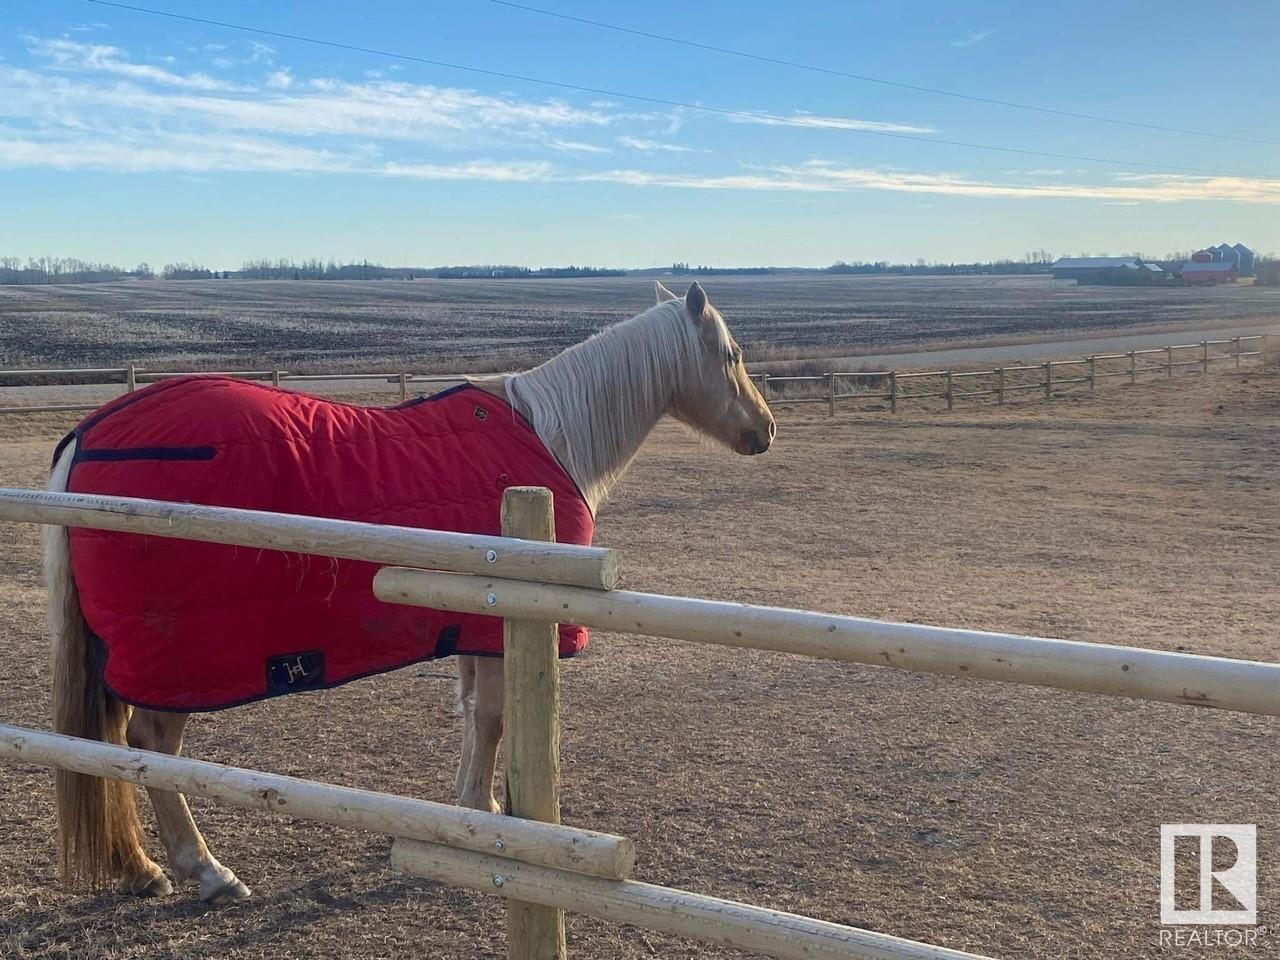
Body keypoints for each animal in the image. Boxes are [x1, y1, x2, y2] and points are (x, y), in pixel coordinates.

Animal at [45, 281, 773, 906]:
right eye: (732, 354)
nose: (765, 430)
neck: (549, 437)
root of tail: (87, 436)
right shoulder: (505, 625)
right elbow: (493, 719)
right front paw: (485, 814)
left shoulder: (479, 626)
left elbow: (475, 717)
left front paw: (476, 808)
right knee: (150, 746)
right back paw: (206, 871)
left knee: (107, 746)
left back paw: (140, 867)